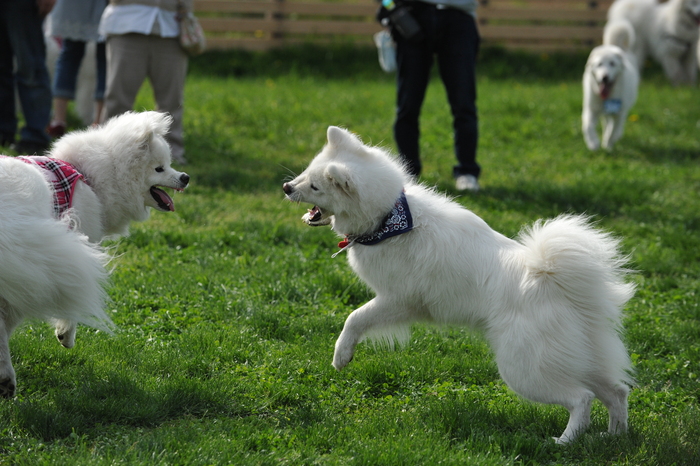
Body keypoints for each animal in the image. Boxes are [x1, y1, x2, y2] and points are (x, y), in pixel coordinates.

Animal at [0, 110, 190, 396]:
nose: (185, 177)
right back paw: (8, 379)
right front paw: (66, 334)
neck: (89, 178)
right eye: (159, 168)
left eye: (169, 164)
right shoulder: (62, 254)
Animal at [284, 126, 636, 444]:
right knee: (616, 391)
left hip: (524, 370)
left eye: (315, 186)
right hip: (581, 358)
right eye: (305, 172)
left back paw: (565, 441)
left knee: (582, 398)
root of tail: (553, 278)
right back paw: (614, 436)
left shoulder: (398, 300)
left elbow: (354, 318)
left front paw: (341, 356)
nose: (286, 186)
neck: (388, 221)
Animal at [580, 20, 640, 150]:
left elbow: (612, 131)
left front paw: (607, 145)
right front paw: (594, 143)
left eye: (612, 64)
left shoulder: (619, 113)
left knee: (615, 126)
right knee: (606, 122)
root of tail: (614, 46)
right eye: (599, 64)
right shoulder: (591, 109)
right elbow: (588, 127)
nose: (605, 77)